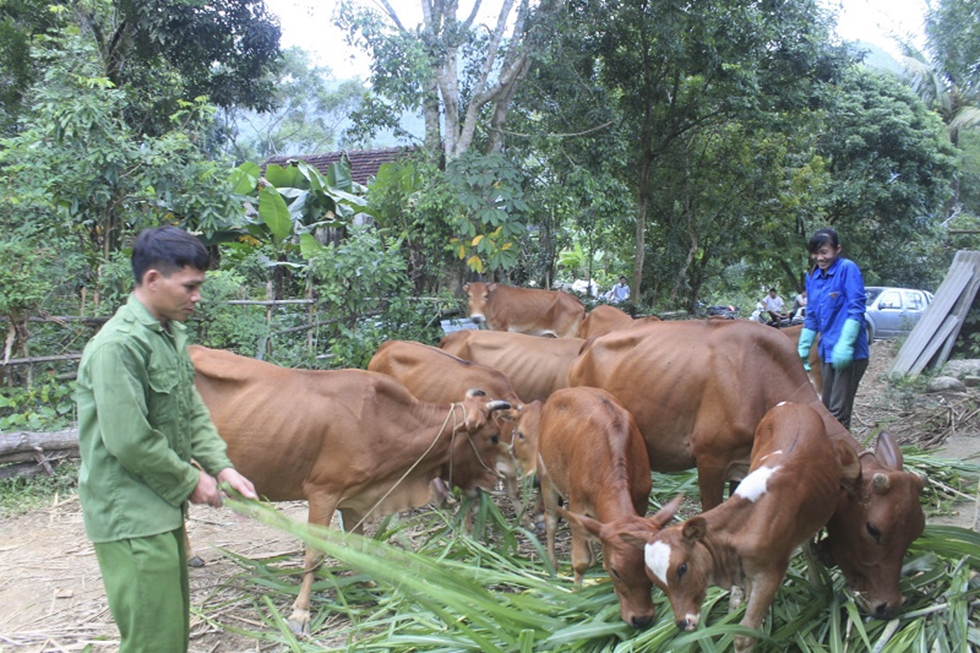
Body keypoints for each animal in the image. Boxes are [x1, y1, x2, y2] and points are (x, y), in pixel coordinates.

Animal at [189, 346, 512, 632]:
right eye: (494, 436)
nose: (492, 482)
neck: (382, 420)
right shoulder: (323, 493)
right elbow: (315, 554)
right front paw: (300, 613)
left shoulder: (354, 497)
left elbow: (359, 547)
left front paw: (368, 584)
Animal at [510, 388, 676, 628]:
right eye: (617, 571)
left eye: (651, 568)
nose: (642, 619)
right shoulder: (577, 504)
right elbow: (580, 561)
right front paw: (576, 594)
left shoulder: (641, 502)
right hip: (545, 475)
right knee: (551, 522)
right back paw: (553, 565)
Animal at [568, 320, 928, 616]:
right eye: (873, 529)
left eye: (917, 531)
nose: (887, 606)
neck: (761, 381)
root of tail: (588, 344)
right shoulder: (710, 460)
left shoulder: (743, 469)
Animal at [628, 402, 856, 652]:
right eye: (654, 580)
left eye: (682, 568)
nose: (682, 622)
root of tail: (792, 405)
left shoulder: (770, 573)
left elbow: (744, 635)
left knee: (806, 544)